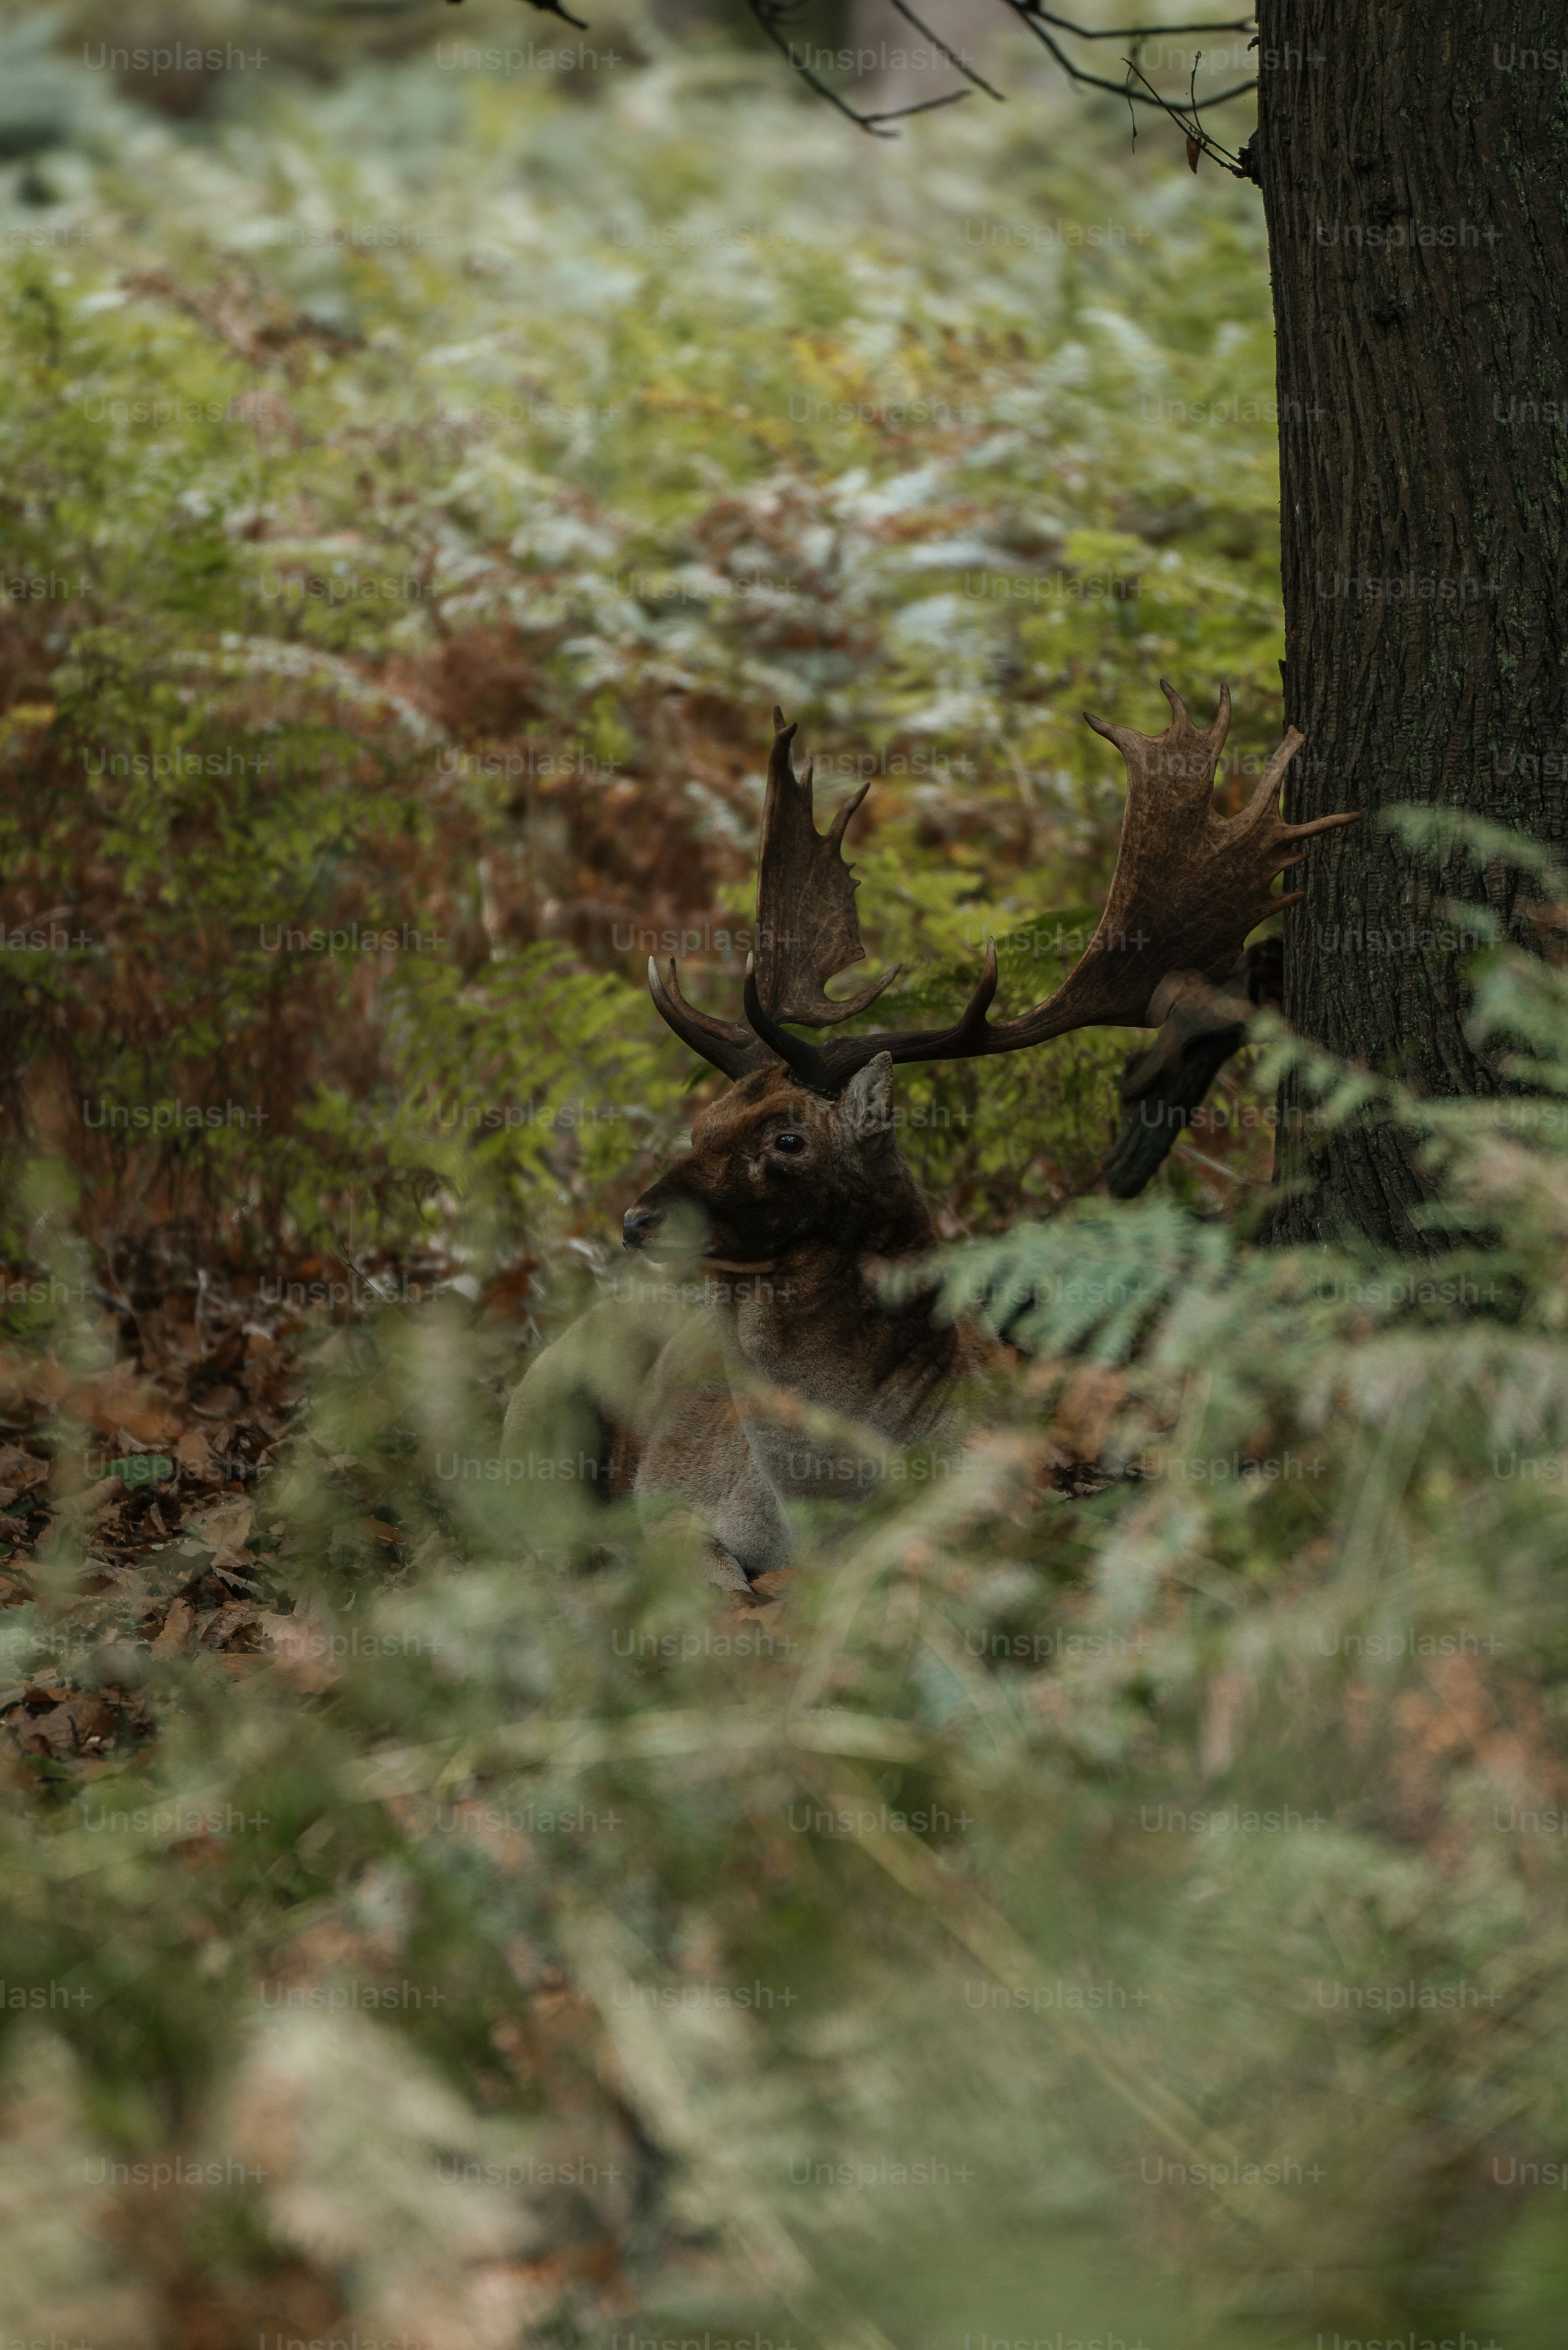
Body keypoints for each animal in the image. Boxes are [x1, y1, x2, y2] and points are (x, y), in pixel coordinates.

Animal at [503, 684, 1358, 1591]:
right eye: (702, 1124)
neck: (821, 1512)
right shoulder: (681, 1506)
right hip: (537, 1412)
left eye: (788, 1139)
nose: (638, 1221)